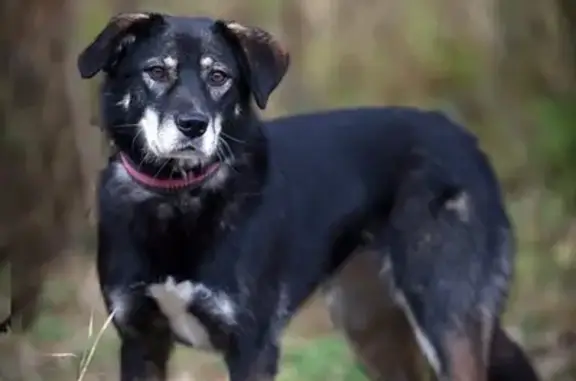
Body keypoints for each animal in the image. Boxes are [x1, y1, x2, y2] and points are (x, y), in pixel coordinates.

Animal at [77, 11, 540, 380]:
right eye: (156, 71)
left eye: (218, 77)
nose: (193, 125)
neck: (179, 195)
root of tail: (468, 140)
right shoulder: (140, 341)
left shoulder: (252, 346)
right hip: (370, 327)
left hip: (444, 315)